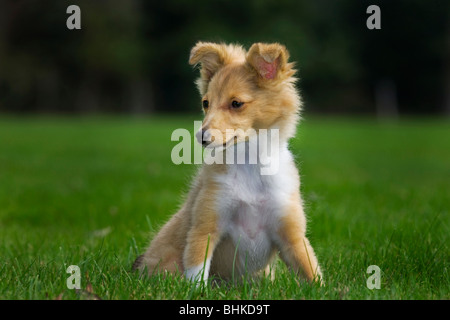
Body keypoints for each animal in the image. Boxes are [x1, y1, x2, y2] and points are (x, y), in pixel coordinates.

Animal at [134, 41, 324, 284]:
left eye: (236, 103)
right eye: (206, 103)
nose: (201, 137)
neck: (249, 163)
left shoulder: (291, 234)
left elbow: (310, 269)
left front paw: (324, 288)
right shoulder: (206, 225)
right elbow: (197, 269)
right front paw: (197, 290)